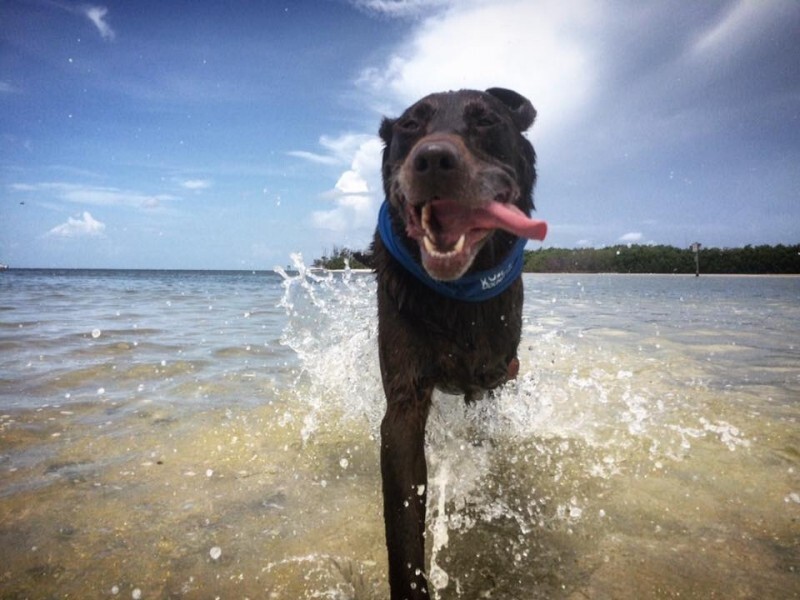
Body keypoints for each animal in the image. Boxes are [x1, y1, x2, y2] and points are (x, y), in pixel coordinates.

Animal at [372, 89, 548, 600]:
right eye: (410, 125)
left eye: (486, 120)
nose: (433, 159)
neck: (458, 295)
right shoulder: (404, 405)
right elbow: (404, 527)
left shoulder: (491, 380)